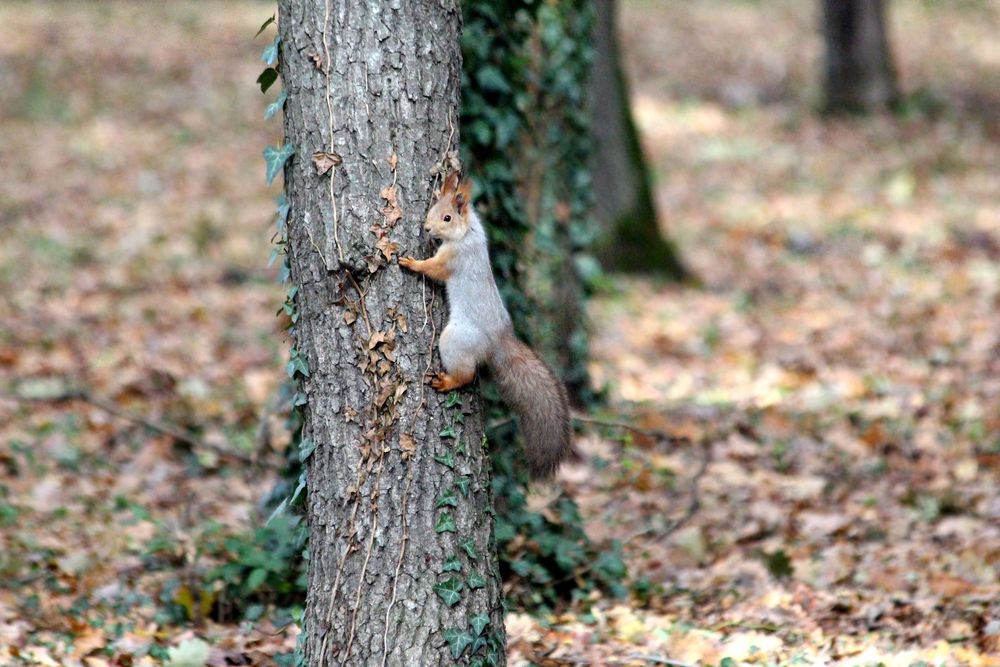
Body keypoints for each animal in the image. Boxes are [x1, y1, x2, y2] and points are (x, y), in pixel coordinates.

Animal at [399, 170, 571, 479]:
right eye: (433, 208)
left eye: (447, 218)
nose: (427, 229)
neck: (468, 233)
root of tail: (498, 341)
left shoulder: (453, 259)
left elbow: (433, 269)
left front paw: (411, 262)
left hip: (455, 340)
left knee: (467, 375)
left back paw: (446, 381)